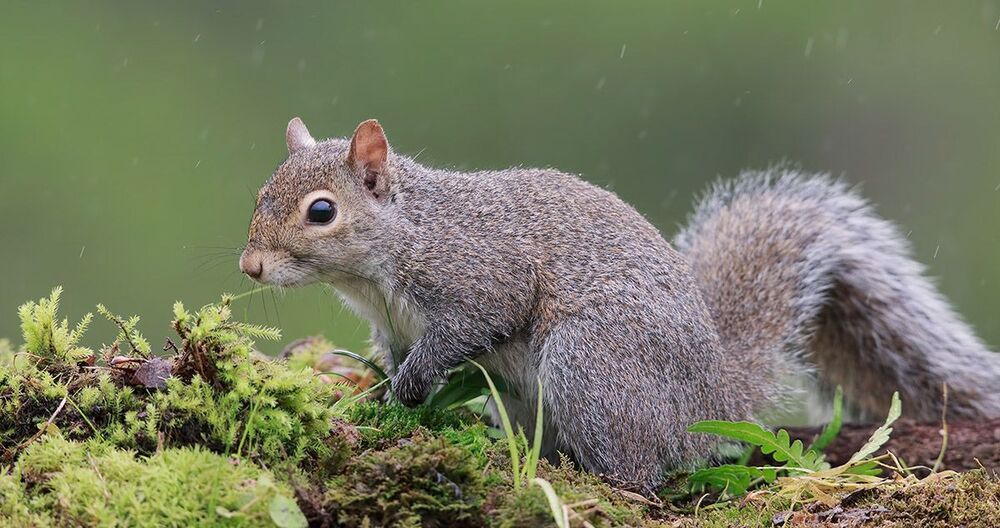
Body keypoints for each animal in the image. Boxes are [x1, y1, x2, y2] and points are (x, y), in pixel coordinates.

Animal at [240, 117, 1000, 491]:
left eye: (321, 211)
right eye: (261, 192)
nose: (250, 265)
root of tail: (710, 402)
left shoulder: (480, 275)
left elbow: (470, 326)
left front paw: (409, 387)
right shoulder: (391, 324)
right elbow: (393, 353)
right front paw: (373, 387)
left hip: (593, 366)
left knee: (640, 474)